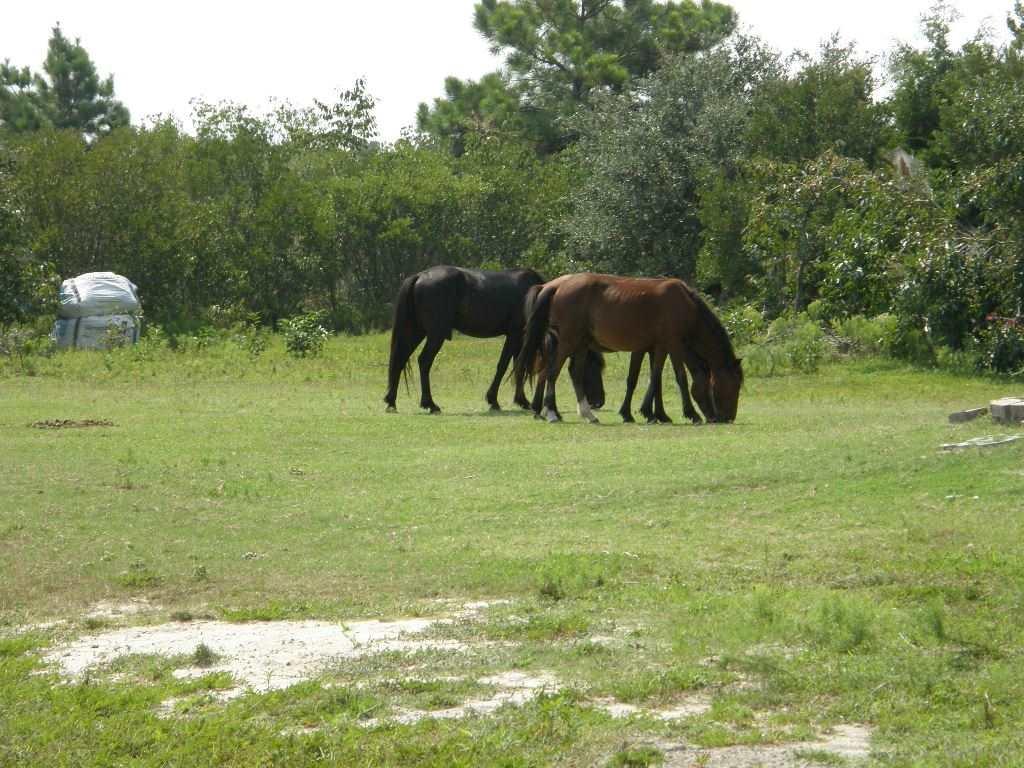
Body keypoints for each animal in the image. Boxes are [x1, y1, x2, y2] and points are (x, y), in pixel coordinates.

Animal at [385, 268, 606, 417]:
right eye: (593, 367)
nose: (599, 401)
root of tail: (419, 276)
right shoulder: (515, 335)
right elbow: (509, 365)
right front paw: (500, 400)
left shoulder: (518, 337)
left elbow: (516, 364)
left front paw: (516, 400)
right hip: (435, 335)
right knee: (424, 362)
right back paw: (430, 403)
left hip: (416, 331)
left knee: (399, 359)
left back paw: (391, 401)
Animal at [516, 272, 741, 428]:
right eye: (733, 387)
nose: (725, 418)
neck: (686, 305)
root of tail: (555, 287)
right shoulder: (673, 344)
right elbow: (680, 378)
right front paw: (690, 414)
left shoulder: (657, 347)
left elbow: (654, 379)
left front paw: (653, 414)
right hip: (567, 342)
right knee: (552, 372)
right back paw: (551, 413)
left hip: (579, 345)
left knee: (574, 374)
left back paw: (587, 414)